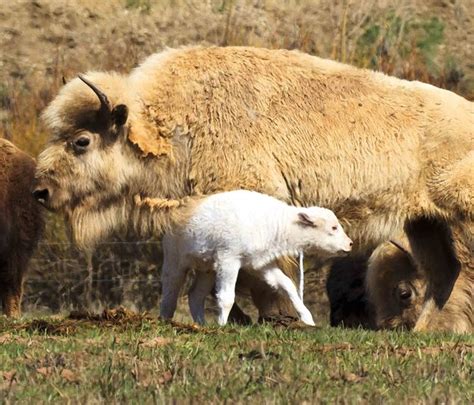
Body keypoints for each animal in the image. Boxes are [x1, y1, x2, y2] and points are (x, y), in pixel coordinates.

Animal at [137, 189, 352, 326]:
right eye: (334, 227)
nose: (350, 244)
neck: (274, 223)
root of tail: (178, 208)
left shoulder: (261, 265)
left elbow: (287, 285)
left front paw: (308, 319)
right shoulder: (229, 260)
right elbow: (226, 297)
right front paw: (222, 326)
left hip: (207, 269)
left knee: (195, 295)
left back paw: (201, 325)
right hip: (175, 262)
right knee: (169, 293)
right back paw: (165, 320)